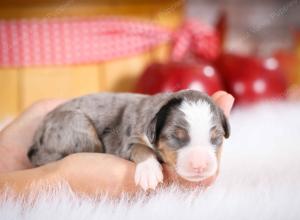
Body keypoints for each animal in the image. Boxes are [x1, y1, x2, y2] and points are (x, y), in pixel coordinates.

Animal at [27, 89, 230, 191]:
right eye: (175, 137)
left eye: (216, 137)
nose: (200, 166)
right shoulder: (126, 140)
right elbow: (141, 148)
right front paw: (149, 172)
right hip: (76, 125)